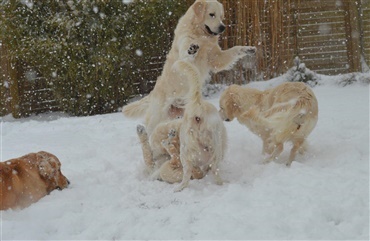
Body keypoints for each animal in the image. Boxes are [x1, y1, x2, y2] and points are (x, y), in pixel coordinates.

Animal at [123, 0, 256, 136]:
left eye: (221, 16)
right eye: (211, 14)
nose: (222, 27)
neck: (201, 35)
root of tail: (152, 93)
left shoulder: (216, 59)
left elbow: (235, 50)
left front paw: (248, 49)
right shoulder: (185, 53)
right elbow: (188, 52)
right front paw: (191, 49)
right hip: (158, 115)